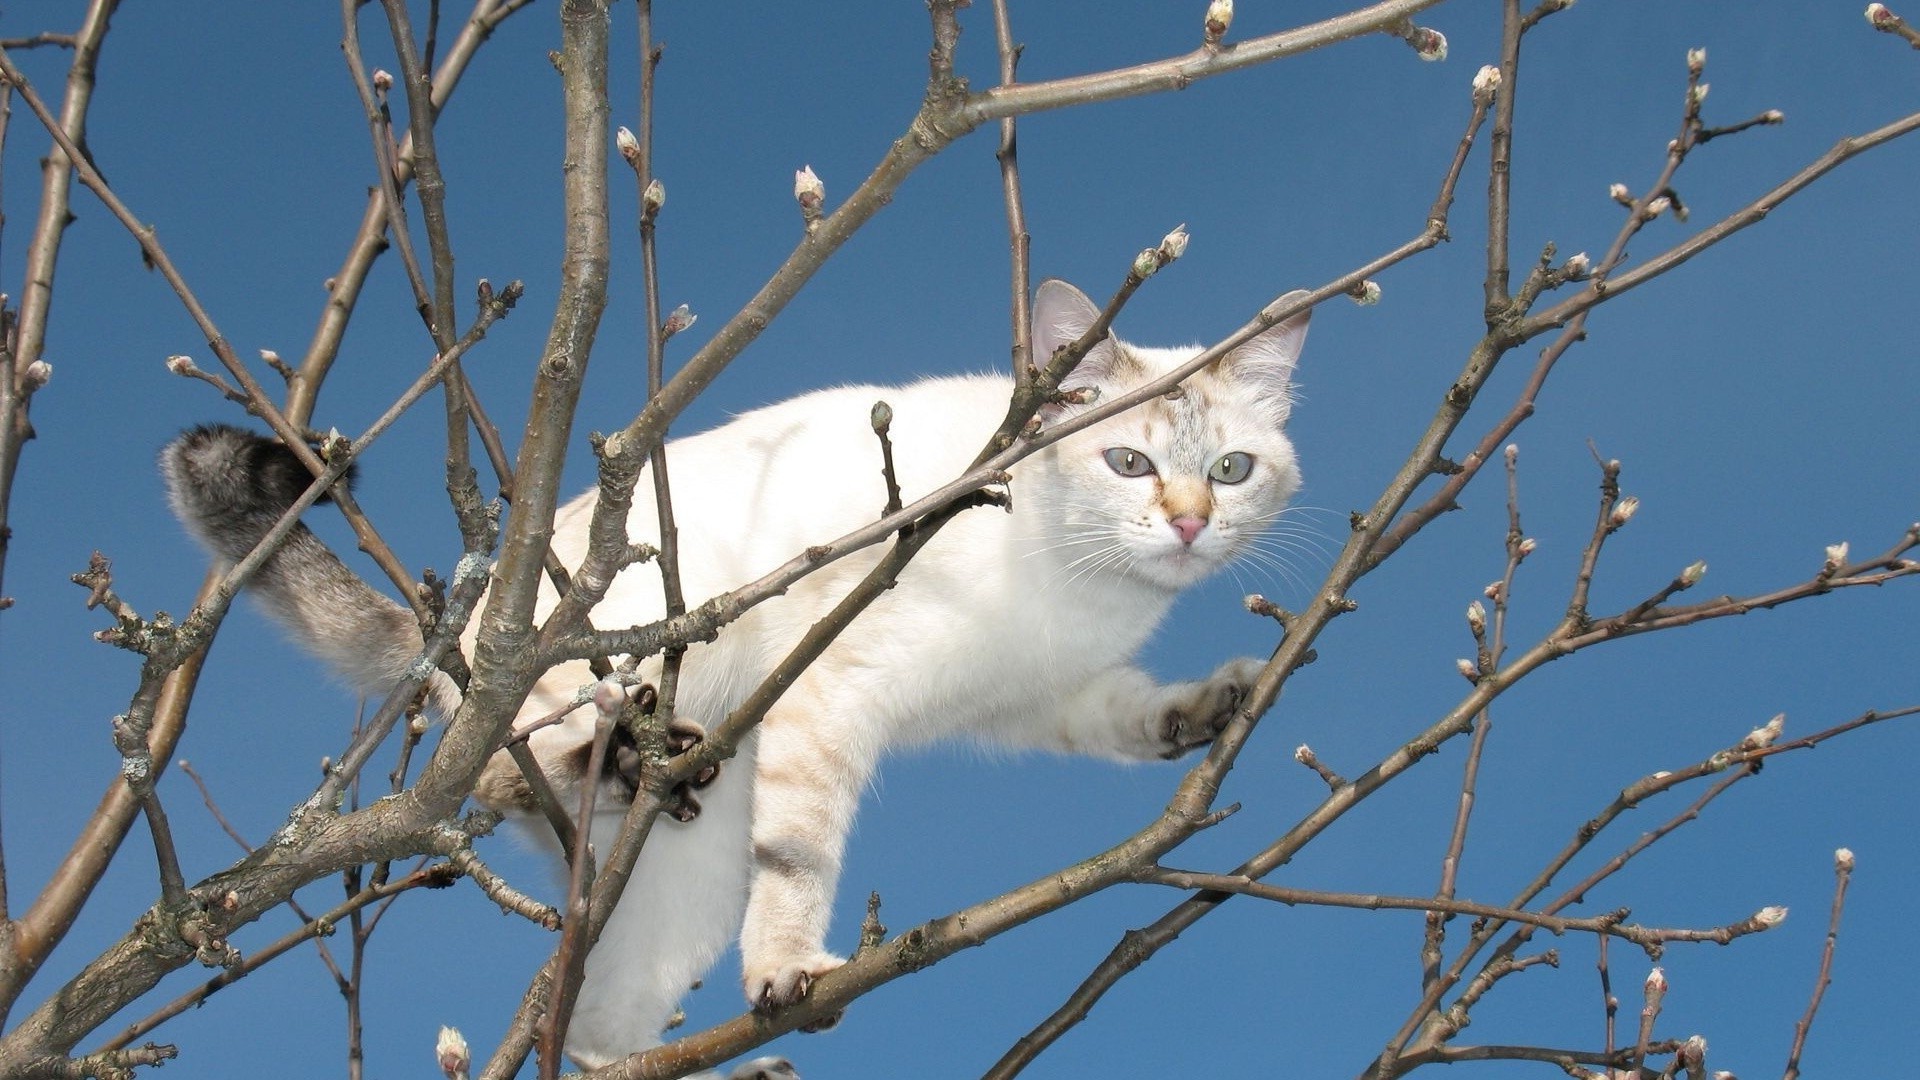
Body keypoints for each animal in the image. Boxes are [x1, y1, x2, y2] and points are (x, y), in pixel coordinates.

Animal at [165, 272, 1313, 1060]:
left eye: (1231, 470)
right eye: (1129, 461)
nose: (1189, 525)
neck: (1080, 585)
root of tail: (464, 623)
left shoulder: (1036, 694)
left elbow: (1127, 714)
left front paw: (1206, 710)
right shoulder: (834, 690)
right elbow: (800, 863)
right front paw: (791, 974)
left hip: (680, 895)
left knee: (596, 1033)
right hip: (590, 672)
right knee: (494, 765)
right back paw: (618, 758)